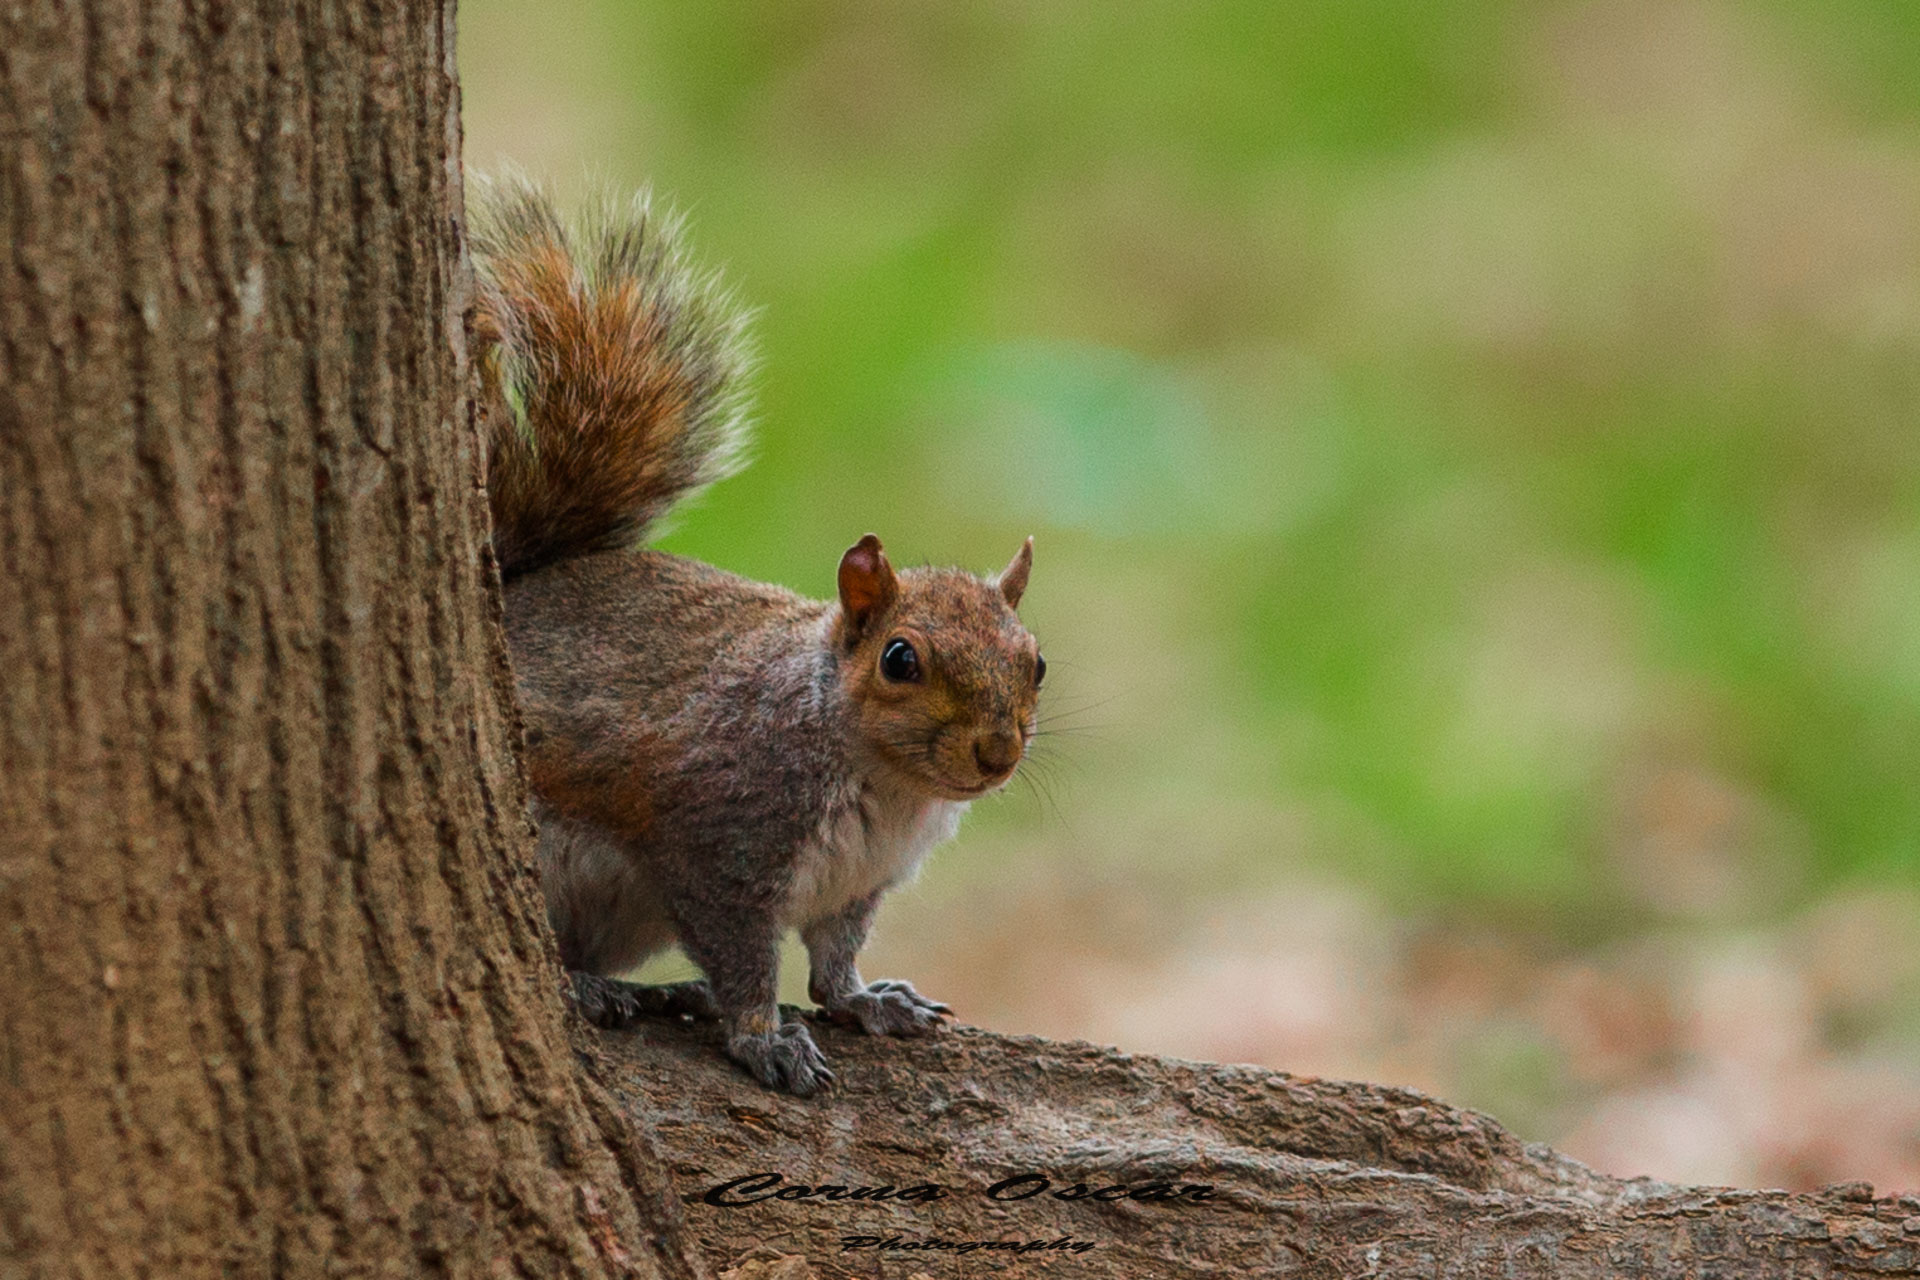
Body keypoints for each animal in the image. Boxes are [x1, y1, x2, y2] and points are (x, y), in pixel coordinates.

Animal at [468, 176, 1044, 1096]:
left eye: (1038, 663)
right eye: (900, 660)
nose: (997, 754)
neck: (885, 785)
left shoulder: (856, 884)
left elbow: (834, 960)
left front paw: (866, 1002)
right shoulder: (717, 846)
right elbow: (744, 959)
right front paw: (761, 1037)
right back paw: (592, 988)